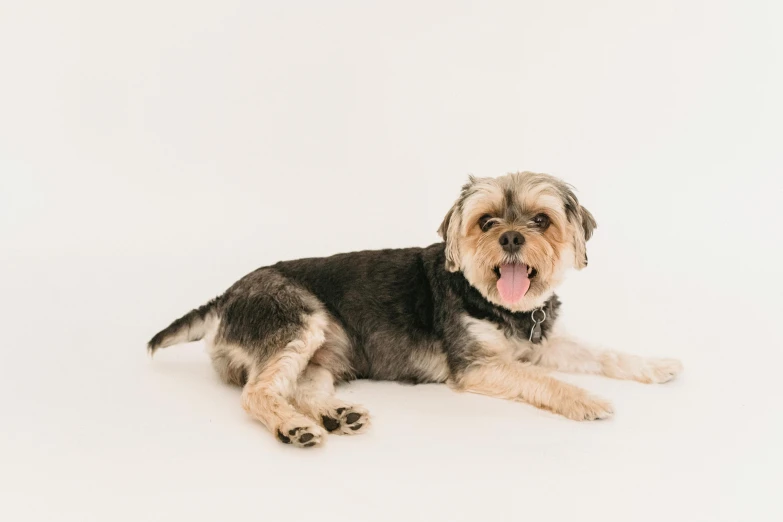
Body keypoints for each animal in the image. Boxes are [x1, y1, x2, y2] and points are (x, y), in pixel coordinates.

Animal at [150, 172, 684, 446]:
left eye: (540, 220)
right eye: (486, 222)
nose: (511, 238)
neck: (499, 305)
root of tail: (226, 296)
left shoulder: (544, 341)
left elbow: (602, 353)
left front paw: (656, 365)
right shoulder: (477, 366)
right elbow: (541, 379)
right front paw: (586, 399)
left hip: (325, 352)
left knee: (299, 387)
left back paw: (336, 415)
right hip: (298, 321)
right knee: (258, 393)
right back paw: (296, 427)